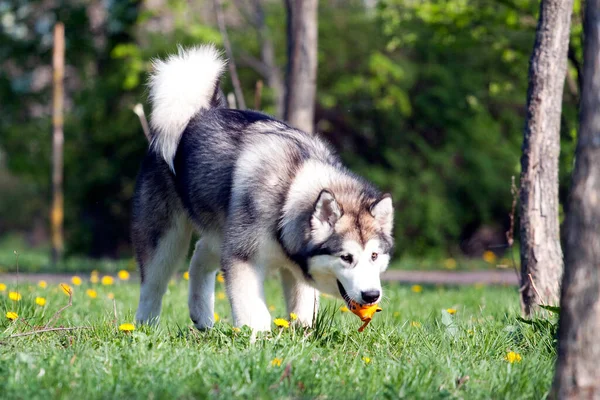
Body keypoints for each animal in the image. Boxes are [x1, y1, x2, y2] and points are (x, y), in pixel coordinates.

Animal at [132, 45, 394, 332]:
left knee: (200, 254)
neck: (289, 191)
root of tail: (198, 111)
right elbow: (254, 312)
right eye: (346, 257)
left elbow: (303, 310)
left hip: (221, 234)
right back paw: (145, 326)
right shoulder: (242, 259)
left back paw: (201, 316)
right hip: (167, 239)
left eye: (374, 256)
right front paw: (258, 337)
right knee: (152, 285)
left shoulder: (293, 268)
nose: (372, 295)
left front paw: (302, 334)